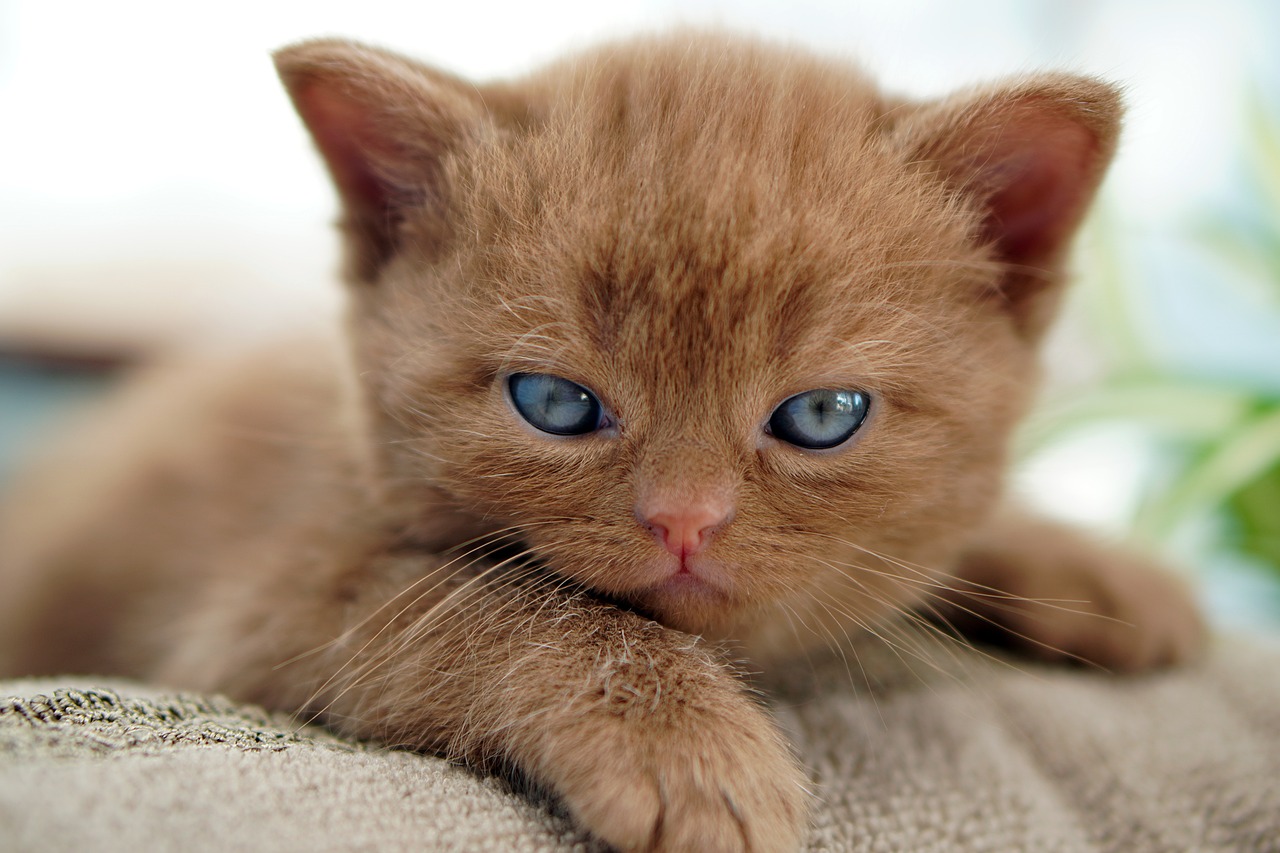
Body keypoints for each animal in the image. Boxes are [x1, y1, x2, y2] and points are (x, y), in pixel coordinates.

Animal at [0, 33, 1198, 850]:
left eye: (820, 417)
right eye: (556, 404)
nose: (683, 519)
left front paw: (1095, 569)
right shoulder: (265, 596)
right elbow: (506, 602)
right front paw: (686, 751)